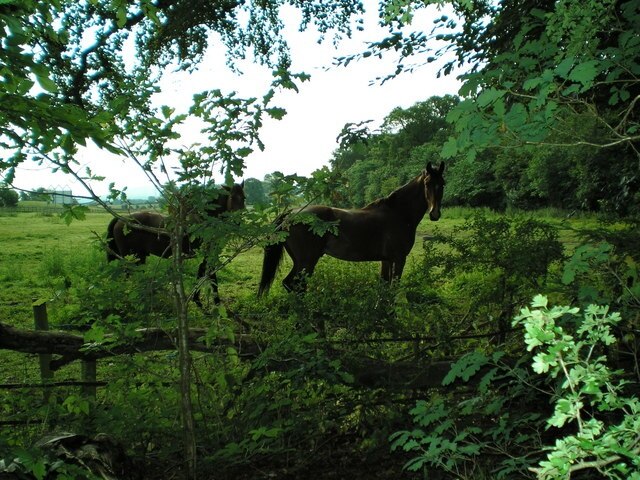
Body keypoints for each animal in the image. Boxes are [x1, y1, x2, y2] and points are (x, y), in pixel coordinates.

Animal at [105, 182, 245, 306]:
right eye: (232, 197)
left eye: (244, 198)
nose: (238, 222)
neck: (205, 221)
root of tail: (121, 219)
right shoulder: (208, 254)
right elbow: (210, 275)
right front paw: (212, 301)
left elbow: (202, 273)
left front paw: (198, 299)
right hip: (130, 257)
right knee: (128, 274)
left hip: (140, 256)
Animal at [258, 162, 442, 296]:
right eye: (427, 183)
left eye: (443, 183)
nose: (435, 213)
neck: (398, 213)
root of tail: (290, 214)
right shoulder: (398, 259)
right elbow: (393, 290)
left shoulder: (387, 260)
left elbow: (384, 288)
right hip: (306, 262)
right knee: (295, 286)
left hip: (300, 262)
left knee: (291, 285)